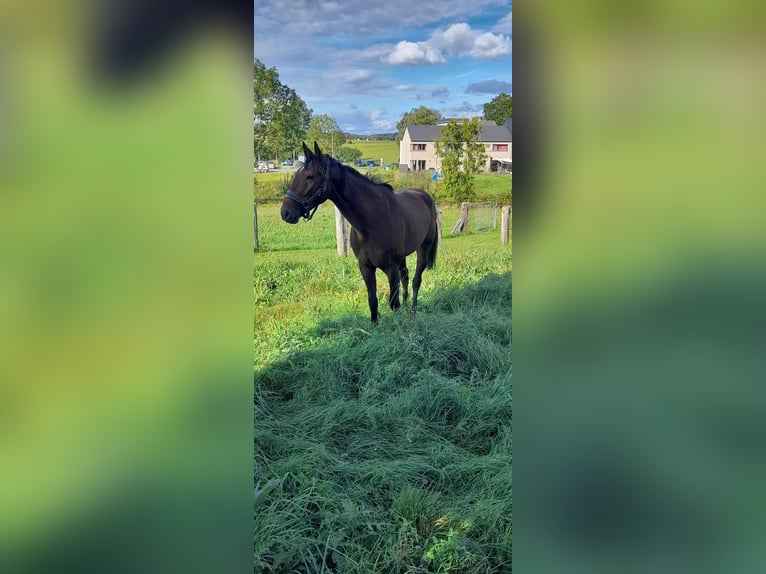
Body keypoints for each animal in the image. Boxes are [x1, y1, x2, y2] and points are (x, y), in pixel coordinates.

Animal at [282, 141, 438, 324]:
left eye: (310, 176)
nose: (285, 212)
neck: (370, 222)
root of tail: (426, 197)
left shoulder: (391, 269)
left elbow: (393, 303)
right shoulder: (365, 267)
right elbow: (373, 301)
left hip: (423, 249)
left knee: (415, 281)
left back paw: (413, 311)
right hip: (402, 257)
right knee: (406, 277)